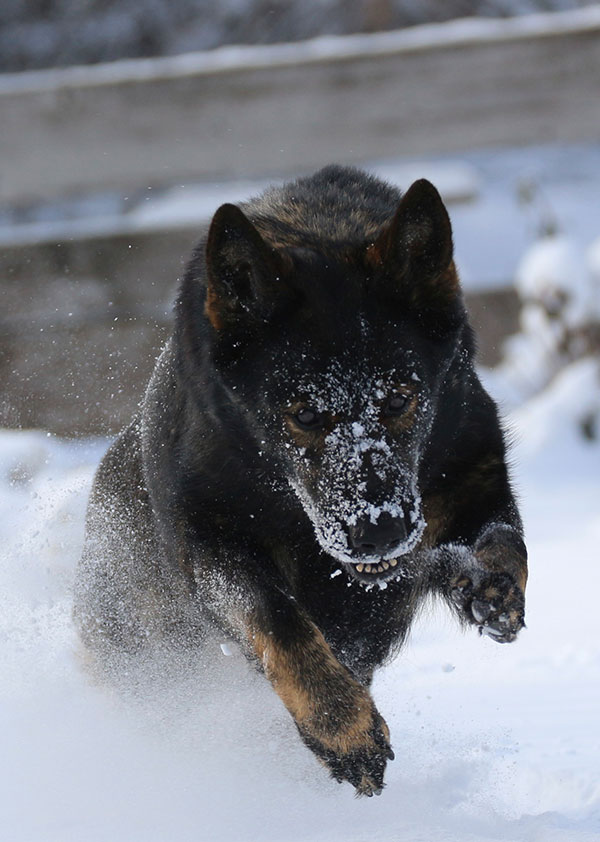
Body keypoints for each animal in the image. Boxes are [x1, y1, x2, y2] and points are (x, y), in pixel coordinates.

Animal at [74, 164, 524, 796]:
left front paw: (489, 589)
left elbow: (501, 539)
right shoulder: (209, 540)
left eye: (399, 399)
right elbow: (278, 620)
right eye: (305, 415)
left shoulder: (471, 464)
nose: (379, 533)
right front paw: (344, 729)